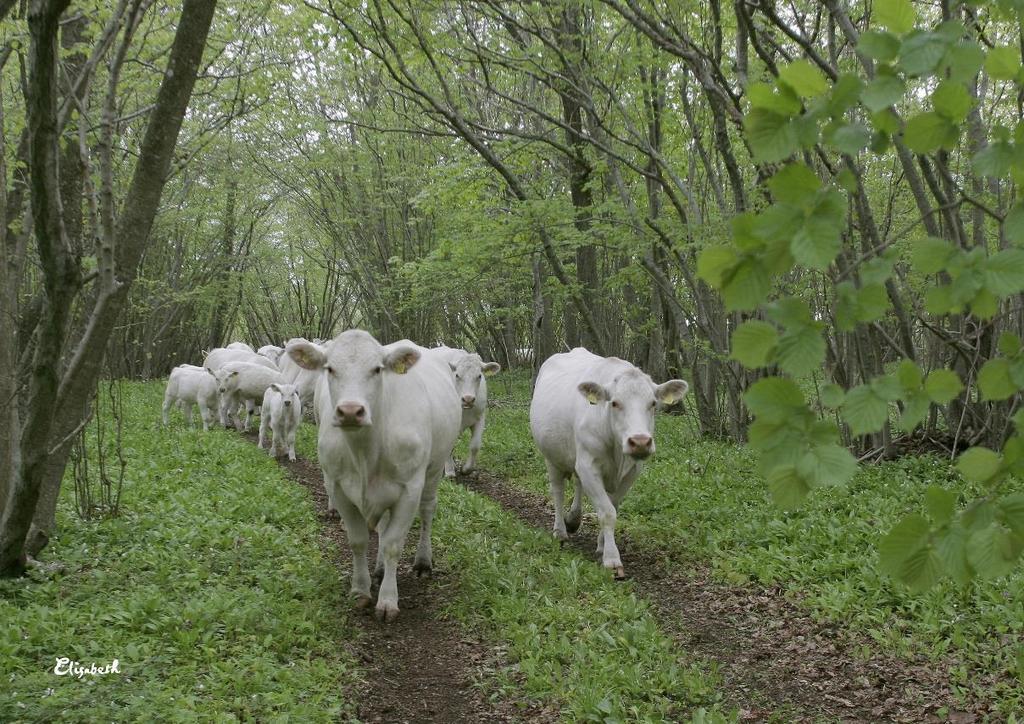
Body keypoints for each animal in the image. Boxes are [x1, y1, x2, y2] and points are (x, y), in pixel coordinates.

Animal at [288, 331, 464, 618]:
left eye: (377, 369)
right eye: (330, 368)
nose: (350, 411)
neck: (365, 453)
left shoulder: (409, 489)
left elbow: (393, 543)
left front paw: (388, 600)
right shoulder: (337, 486)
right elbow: (358, 541)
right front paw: (360, 589)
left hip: (434, 467)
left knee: (427, 510)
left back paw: (422, 562)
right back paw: (380, 568)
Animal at [428, 348, 499, 479]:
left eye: (479, 376)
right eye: (457, 375)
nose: (468, 399)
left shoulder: (480, 418)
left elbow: (475, 446)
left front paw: (466, 469)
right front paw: (449, 471)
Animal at [528, 348, 688, 581]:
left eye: (653, 403)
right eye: (614, 403)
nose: (640, 441)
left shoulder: (631, 471)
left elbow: (612, 506)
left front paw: (602, 546)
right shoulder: (588, 465)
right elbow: (607, 512)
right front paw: (612, 560)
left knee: (577, 483)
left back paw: (573, 519)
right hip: (551, 455)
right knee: (557, 490)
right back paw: (560, 531)